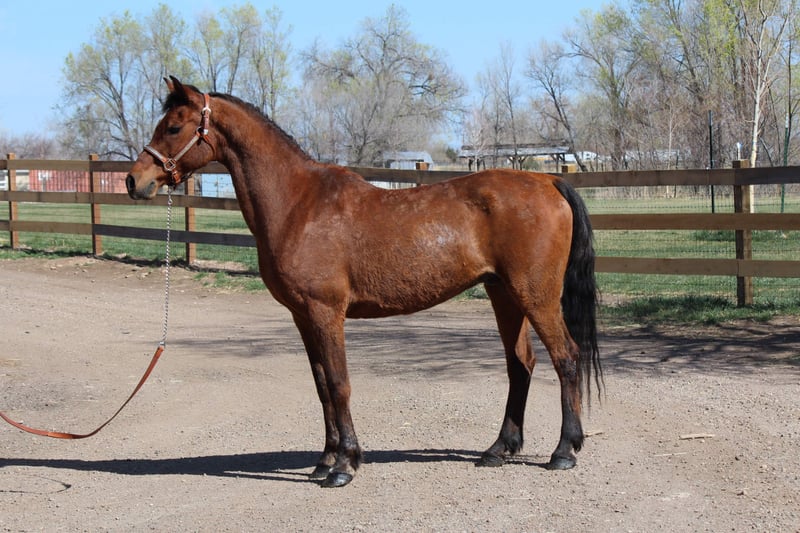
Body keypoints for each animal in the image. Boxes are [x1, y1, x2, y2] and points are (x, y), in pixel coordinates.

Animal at [126, 77, 601, 488]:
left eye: (173, 126)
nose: (135, 180)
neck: (298, 203)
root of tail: (548, 180)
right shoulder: (303, 317)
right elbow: (322, 387)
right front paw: (324, 461)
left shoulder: (326, 312)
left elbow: (339, 384)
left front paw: (345, 466)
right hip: (503, 294)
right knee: (521, 364)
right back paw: (499, 449)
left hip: (536, 296)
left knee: (566, 357)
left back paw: (563, 451)